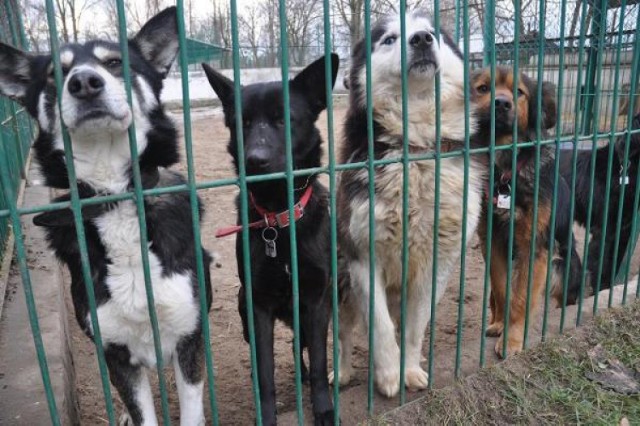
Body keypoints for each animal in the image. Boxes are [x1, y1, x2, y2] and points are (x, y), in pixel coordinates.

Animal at [0, 7, 214, 426]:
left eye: (115, 63)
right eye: (55, 74)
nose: (84, 82)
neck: (114, 195)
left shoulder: (188, 338)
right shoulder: (115, 352)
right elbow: (141, 410)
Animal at [204, 55, 340, 424]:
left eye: (283, 119)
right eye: (243, 123)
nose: (255, 160)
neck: (279, 220)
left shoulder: (317, 300)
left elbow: (320, 362)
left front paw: (323, 408)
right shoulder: (258, 305)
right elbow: (265, 372)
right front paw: (266, 413)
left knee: (300, 348)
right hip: (242, 305)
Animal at [332, 9, 482, 396]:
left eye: (434, 33)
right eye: (389, 39)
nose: (421, 40)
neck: (415, 151)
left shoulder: (436, 267)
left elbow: (415, 329)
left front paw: (409, 369)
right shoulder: (362, 257)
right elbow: (380, 327)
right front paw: (388, 375)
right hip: (341, 286)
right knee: (343, 334)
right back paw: (342, 372)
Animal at [470, 66, 584, 358]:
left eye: (518, 92)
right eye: (483, 88)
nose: (501, 103)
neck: (507, 173)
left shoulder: (535, 248)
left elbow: (521, 297)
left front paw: (512, 340)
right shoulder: (492, 241)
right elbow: (501, 289)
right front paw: (500, 324)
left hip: (559, 265)